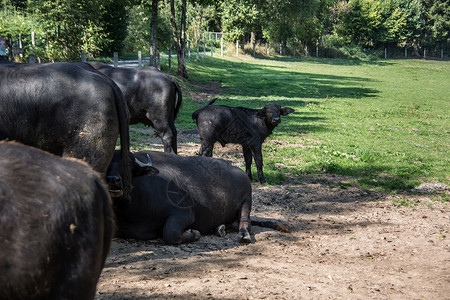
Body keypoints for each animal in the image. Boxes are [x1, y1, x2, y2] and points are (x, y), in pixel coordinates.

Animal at [106, 150, 253, 244]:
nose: (113, 179)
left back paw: (244, 235)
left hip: (247, 200)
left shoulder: (183, 214)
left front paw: (195, 233)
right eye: (107, 163)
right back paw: (220, 228)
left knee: (245, 221)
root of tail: (239, 170)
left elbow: (170, 233)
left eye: (129, 164)